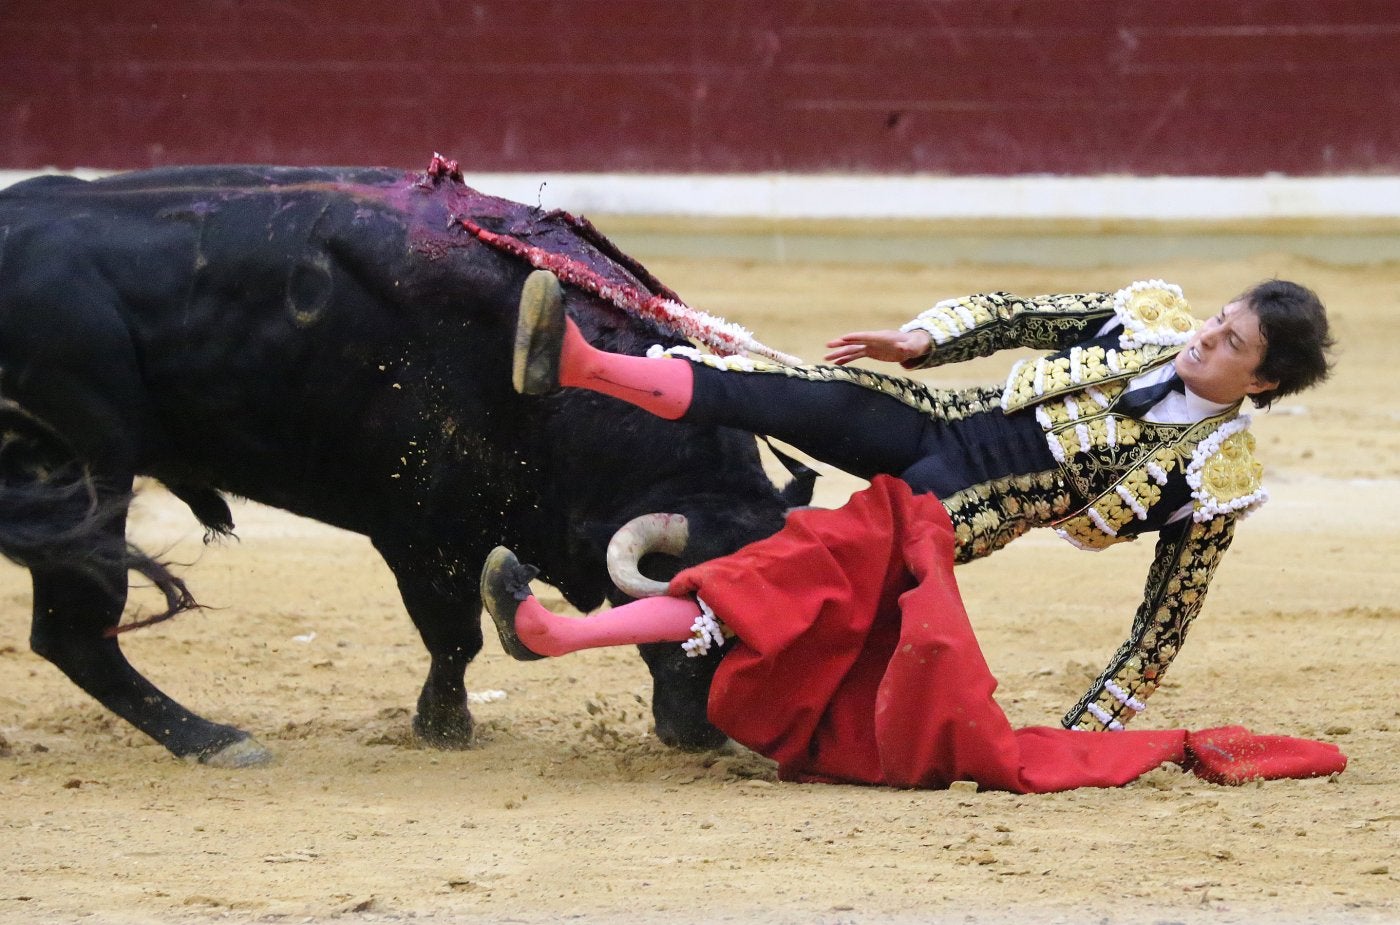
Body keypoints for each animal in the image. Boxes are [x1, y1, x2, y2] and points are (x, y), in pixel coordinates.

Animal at [0, 158, 812, 766]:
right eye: (687, 617)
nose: (704, 736)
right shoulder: (423, 530)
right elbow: (456, 636)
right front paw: (443, 726)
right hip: (83, 482)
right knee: (74, 635)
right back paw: (215, 740)